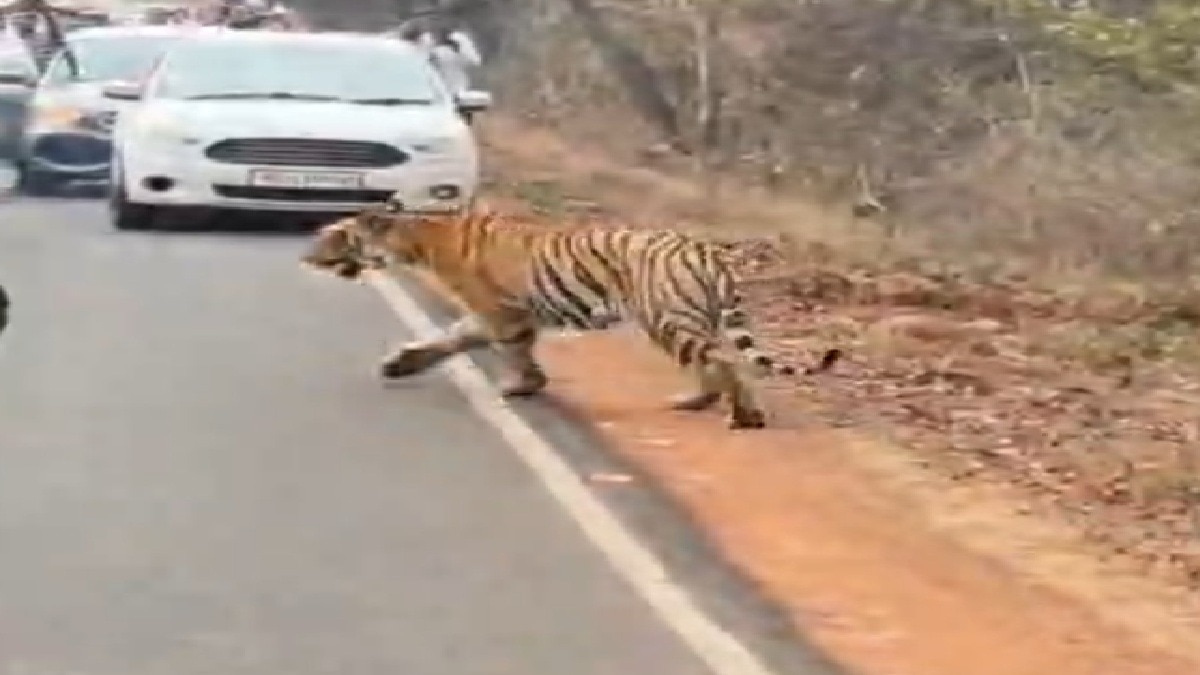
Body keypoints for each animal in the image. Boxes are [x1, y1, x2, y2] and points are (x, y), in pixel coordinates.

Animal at [300, 199, 841, 429]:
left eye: (335, 235)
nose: (304, 256)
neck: (417, 241)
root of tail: (708, 250)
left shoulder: (500, 313)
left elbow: (508, 350)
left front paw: (522, 386)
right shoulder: (495, 312)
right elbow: (449, 337)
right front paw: (401, 364)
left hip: (667, 319)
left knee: (723, 361)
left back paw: (742, 416)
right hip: (690, 318)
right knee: (720, 362)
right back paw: (703, 404)